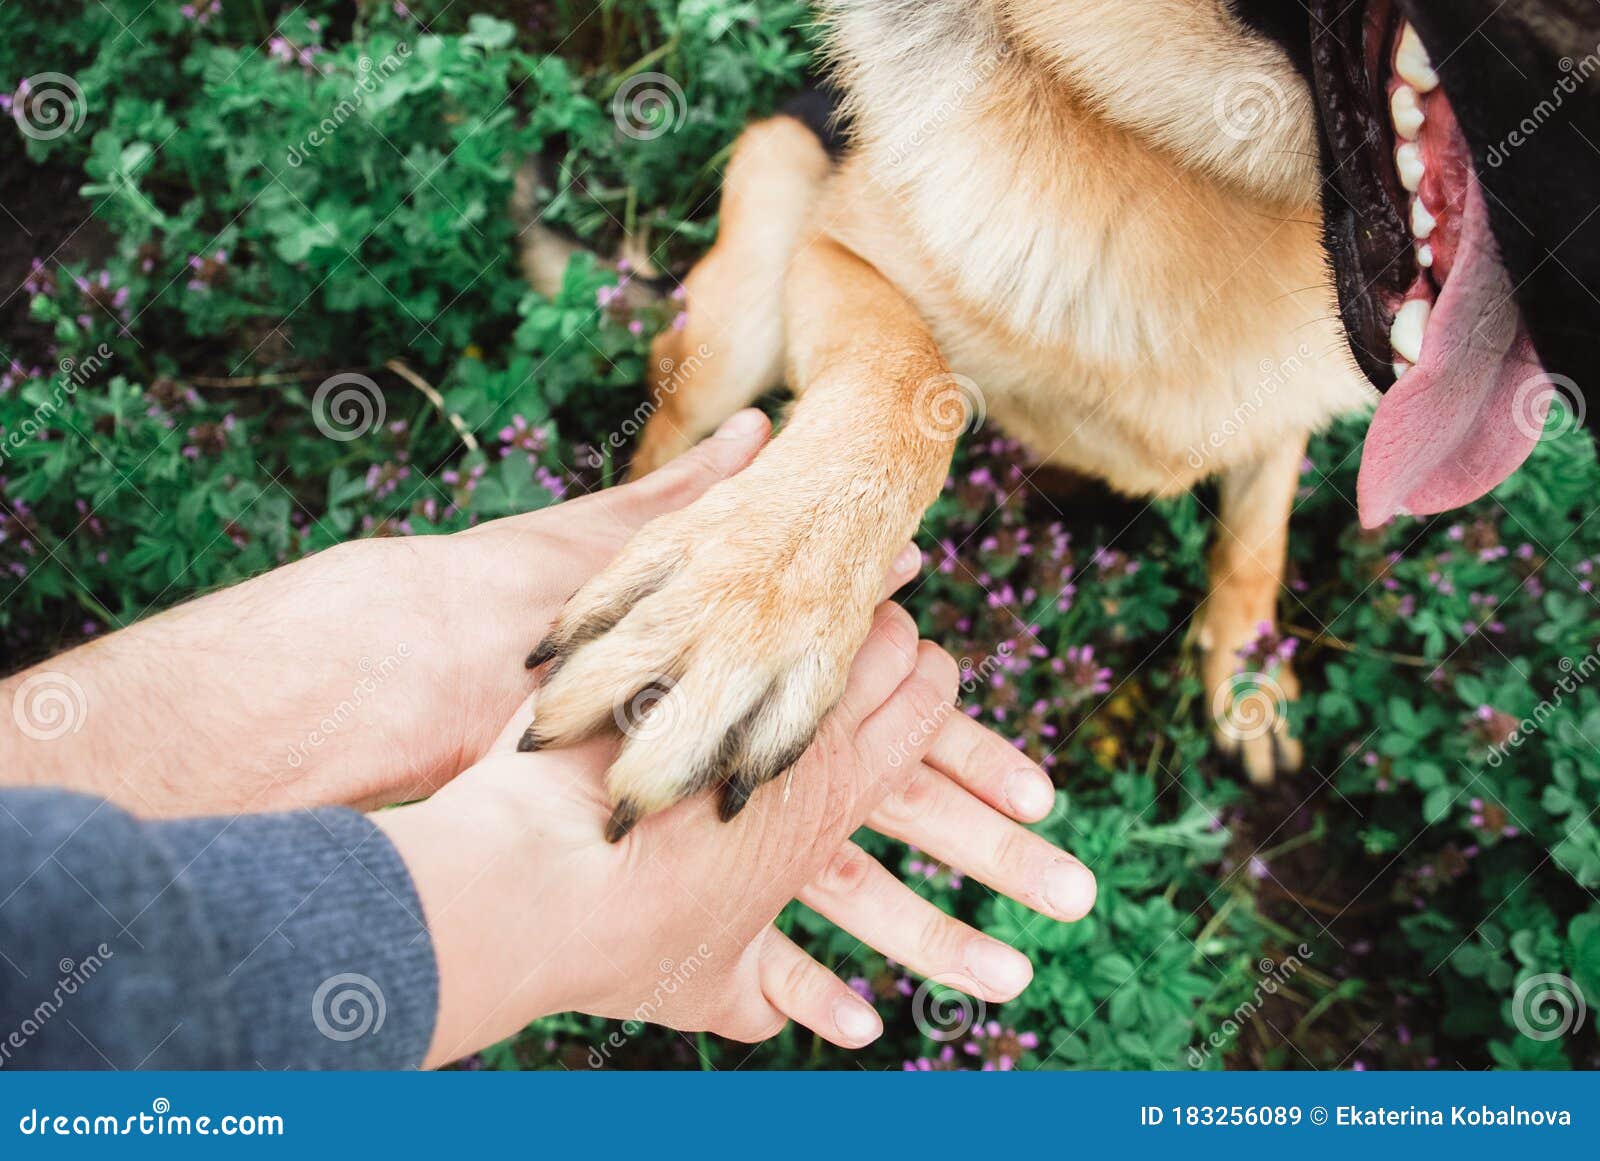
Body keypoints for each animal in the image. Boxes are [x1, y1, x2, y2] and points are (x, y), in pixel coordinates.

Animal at [521, 0, 1600, 844]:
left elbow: (1255, 539)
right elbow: (908, 379)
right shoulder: (837, 255)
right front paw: (752, 595)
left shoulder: (1294, 414)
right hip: (749, 287)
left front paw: (1246, 680)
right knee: (668, 433)